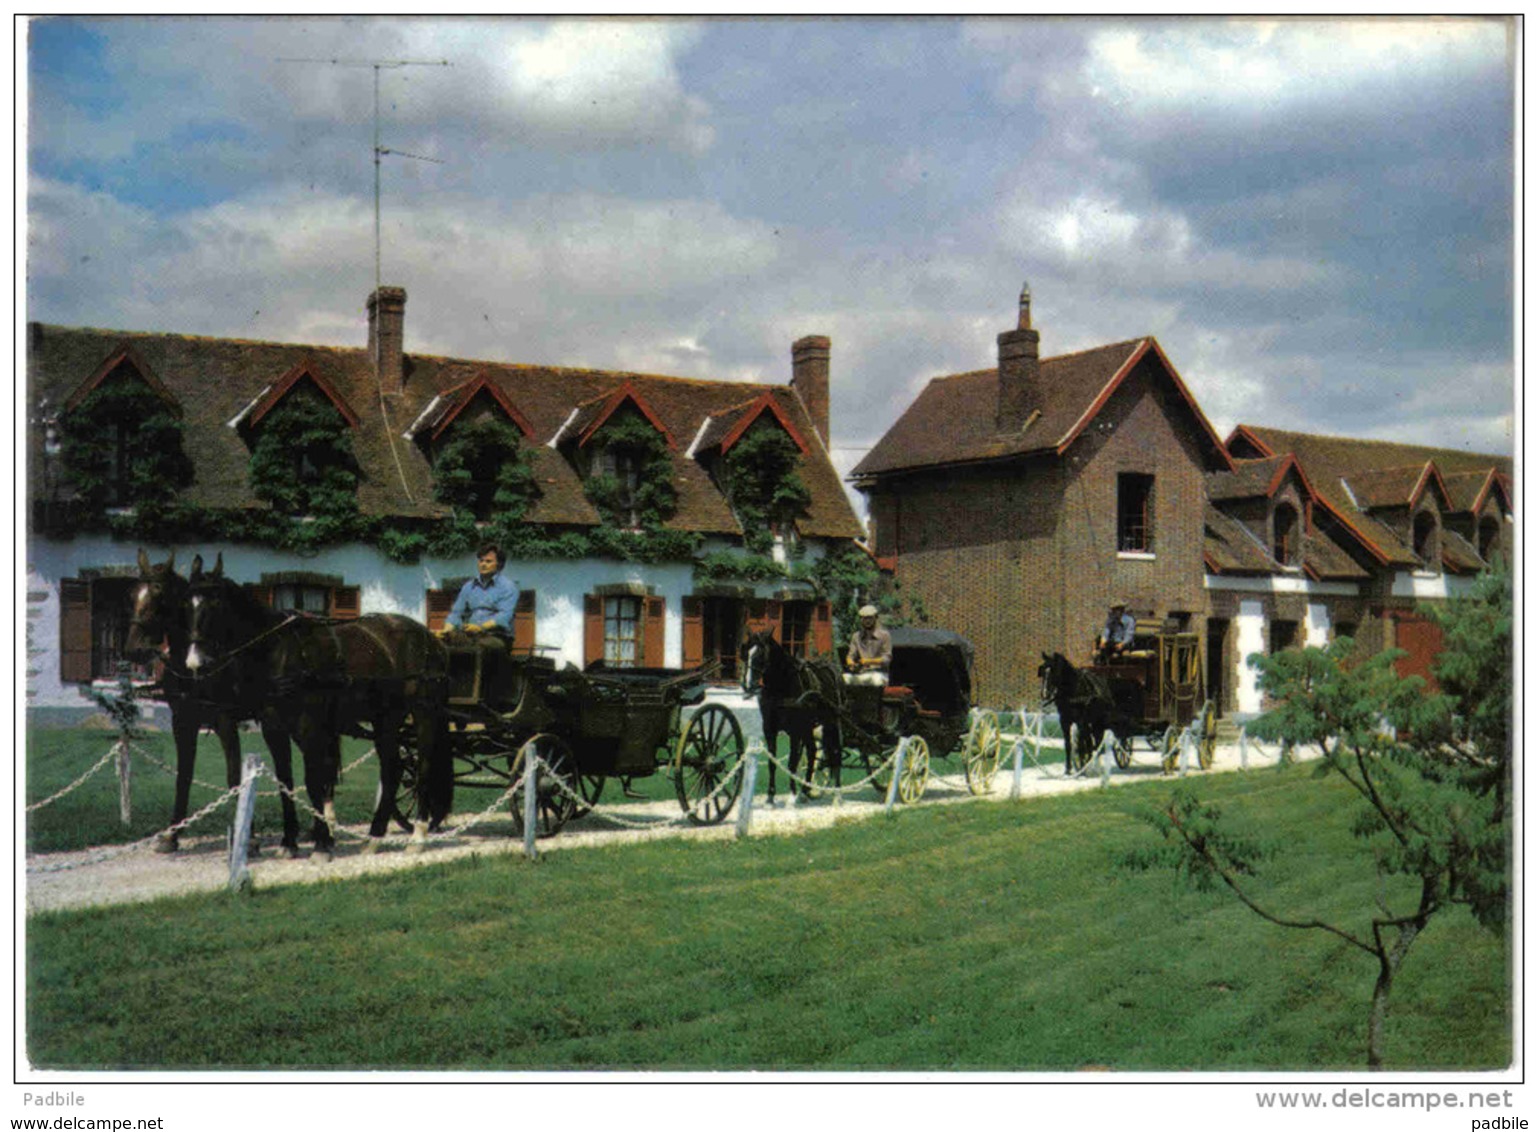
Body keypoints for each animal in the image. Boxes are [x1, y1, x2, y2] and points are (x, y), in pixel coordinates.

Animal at [183, 553, 449, 855]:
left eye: (215, 602)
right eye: (186, 603)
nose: (195, 662)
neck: (280, 651)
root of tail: (431, 640)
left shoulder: (308, 725)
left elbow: (313, 781)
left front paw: (322, 843)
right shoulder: (274, 728)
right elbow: (286, 781)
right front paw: (290, 841)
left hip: (424, 714)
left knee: (423, 768)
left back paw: (418, 835)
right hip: (387, 718)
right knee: (391, 771)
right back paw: (374, 837)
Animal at [741, 627, 848, 805]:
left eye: (761, 654)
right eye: (745, 652)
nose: (748, 685)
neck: (781, 686)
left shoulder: (795, 731)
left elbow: (792, 763)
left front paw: (791, 795)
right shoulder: (770, 730)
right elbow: (772, 763)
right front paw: (770, 797)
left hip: (831, 723)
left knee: (835, 753)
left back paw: (837, 794)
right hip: (809, 727)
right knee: (812, 752)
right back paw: (805, 791)